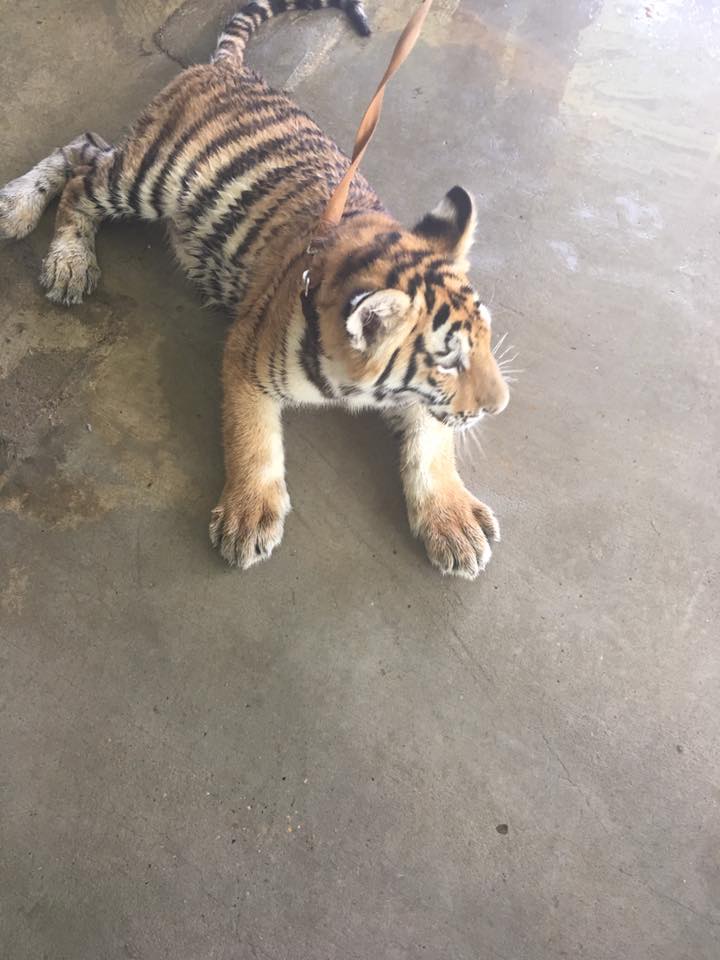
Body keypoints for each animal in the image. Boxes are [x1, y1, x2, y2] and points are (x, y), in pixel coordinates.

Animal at [0, 0, 511, 580]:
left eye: (485, 342)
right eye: (448, 362)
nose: (500, 406)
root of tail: (229, 69)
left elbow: (432, 443)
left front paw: (454, 522)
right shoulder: (245, 358)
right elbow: (253, 439)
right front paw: (247, 518)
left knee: (84, 148)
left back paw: (19, 209)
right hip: (151, 176)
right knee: (81, 178)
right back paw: (55, 248)